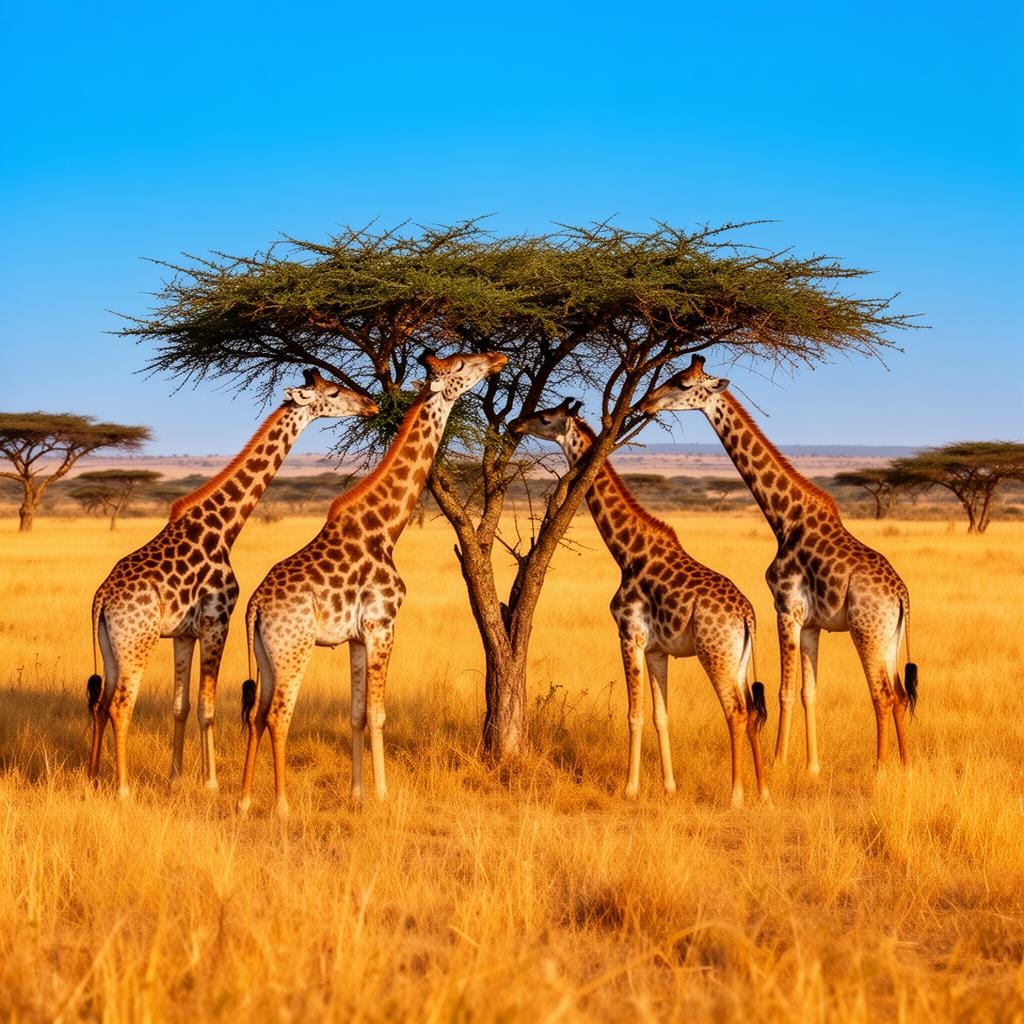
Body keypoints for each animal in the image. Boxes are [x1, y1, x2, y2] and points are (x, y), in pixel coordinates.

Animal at [87, 370, 378, 797]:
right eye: (335, 392)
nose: (371, 404)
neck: (224, 528)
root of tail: (101, 599)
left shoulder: (184, 632)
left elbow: (182, 705)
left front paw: (176, 778)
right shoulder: (217, 621)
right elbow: (207, 707)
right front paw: (211, 783)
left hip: (111, 643)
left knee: (101, 701)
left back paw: (92, 778)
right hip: (136, 639)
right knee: (121, 704)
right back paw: (123, 790)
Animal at [236, 350, 507, 816]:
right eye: (459, 367)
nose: (497, 357)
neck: (386, 527)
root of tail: (256, 605)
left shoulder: (356, 637)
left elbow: (357, 714)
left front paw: (357, 794)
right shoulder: (383, 625)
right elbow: (379, 713)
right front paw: (382, 794)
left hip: (267, 654)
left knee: (256, 713)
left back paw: (244, 801)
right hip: (294, 648)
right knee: (277, 715)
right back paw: (282, 805)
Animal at [510, 400, 770, 806]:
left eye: (545, 416)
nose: (514, 424)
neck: (627, 553)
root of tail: (747, 616)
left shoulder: (629, 636)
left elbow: (634, 713)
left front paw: (629, 788)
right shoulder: (657, 649)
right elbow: (661, 715)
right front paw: (669, 786)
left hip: (714, 653)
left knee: (737, 711)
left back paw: (735, 796)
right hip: (738, 659)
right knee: (754, 712)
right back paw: (764, 794)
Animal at [641, 356, 918, 773]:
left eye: (683, 383)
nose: (646, 404)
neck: (784, 518)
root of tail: (901, 597)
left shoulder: (786, 608)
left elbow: (784, 690)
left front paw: (777, 763)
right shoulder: (812, 621)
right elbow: (808, 691)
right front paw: (812, 767)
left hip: (866, 629)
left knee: (882, 693)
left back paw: (881, 769)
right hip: (889, 636)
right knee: (900, 694)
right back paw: (904, 766)